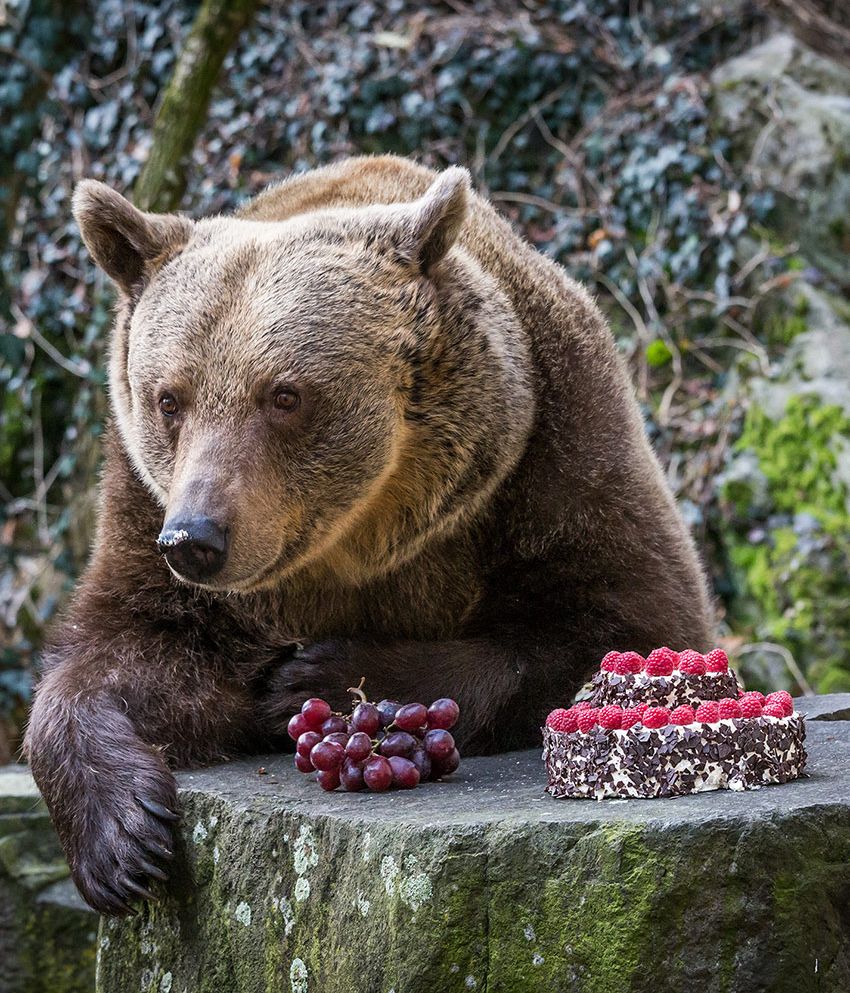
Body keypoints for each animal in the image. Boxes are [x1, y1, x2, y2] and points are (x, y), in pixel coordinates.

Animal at [23, 157, 712, 916]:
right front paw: (122, 838)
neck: (362, 535)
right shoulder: (142, 503)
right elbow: (130, 647)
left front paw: (309, 679)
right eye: (168, 398)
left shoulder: (555, 454)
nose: (196, 538)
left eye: (284, 394)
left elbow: (625, 621)